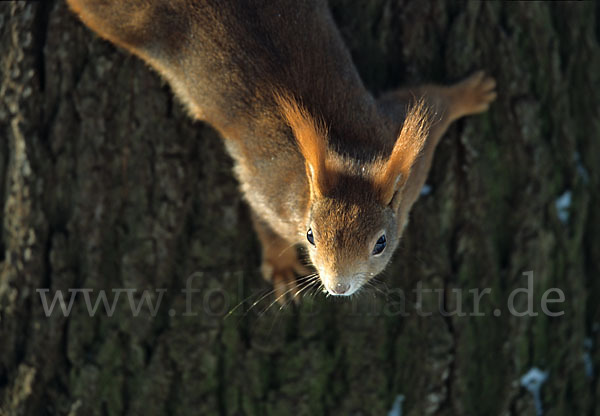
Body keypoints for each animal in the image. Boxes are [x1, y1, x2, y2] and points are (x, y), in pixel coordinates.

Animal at [67, 1, 496, 304]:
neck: (350, 157)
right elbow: (260, 214)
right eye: (310, 236)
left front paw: (474, 93)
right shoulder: (269, 188)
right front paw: (281, 267)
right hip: (126, 20)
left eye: (381, 243)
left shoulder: (407, 148)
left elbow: (435, 101)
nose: (338, 287)